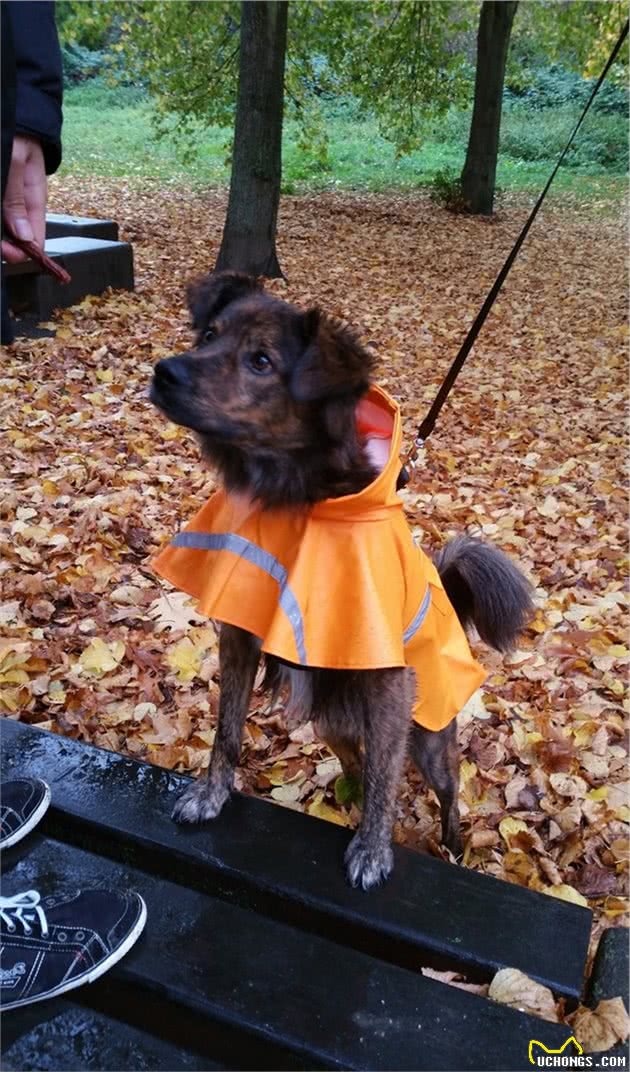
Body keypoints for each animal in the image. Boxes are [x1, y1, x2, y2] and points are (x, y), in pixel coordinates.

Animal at [151, 272, 531, 891]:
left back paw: (450, 844)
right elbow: (227, 729)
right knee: (362, 761)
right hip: (334, 722)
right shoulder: (240, 634)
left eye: (261, 360)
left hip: (427, 737)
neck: (298, 495)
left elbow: (386, 779)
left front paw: (374, 849)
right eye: (208, 334)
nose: (165, 372)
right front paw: (211, 795)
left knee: (437, 789)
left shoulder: (387, 676)